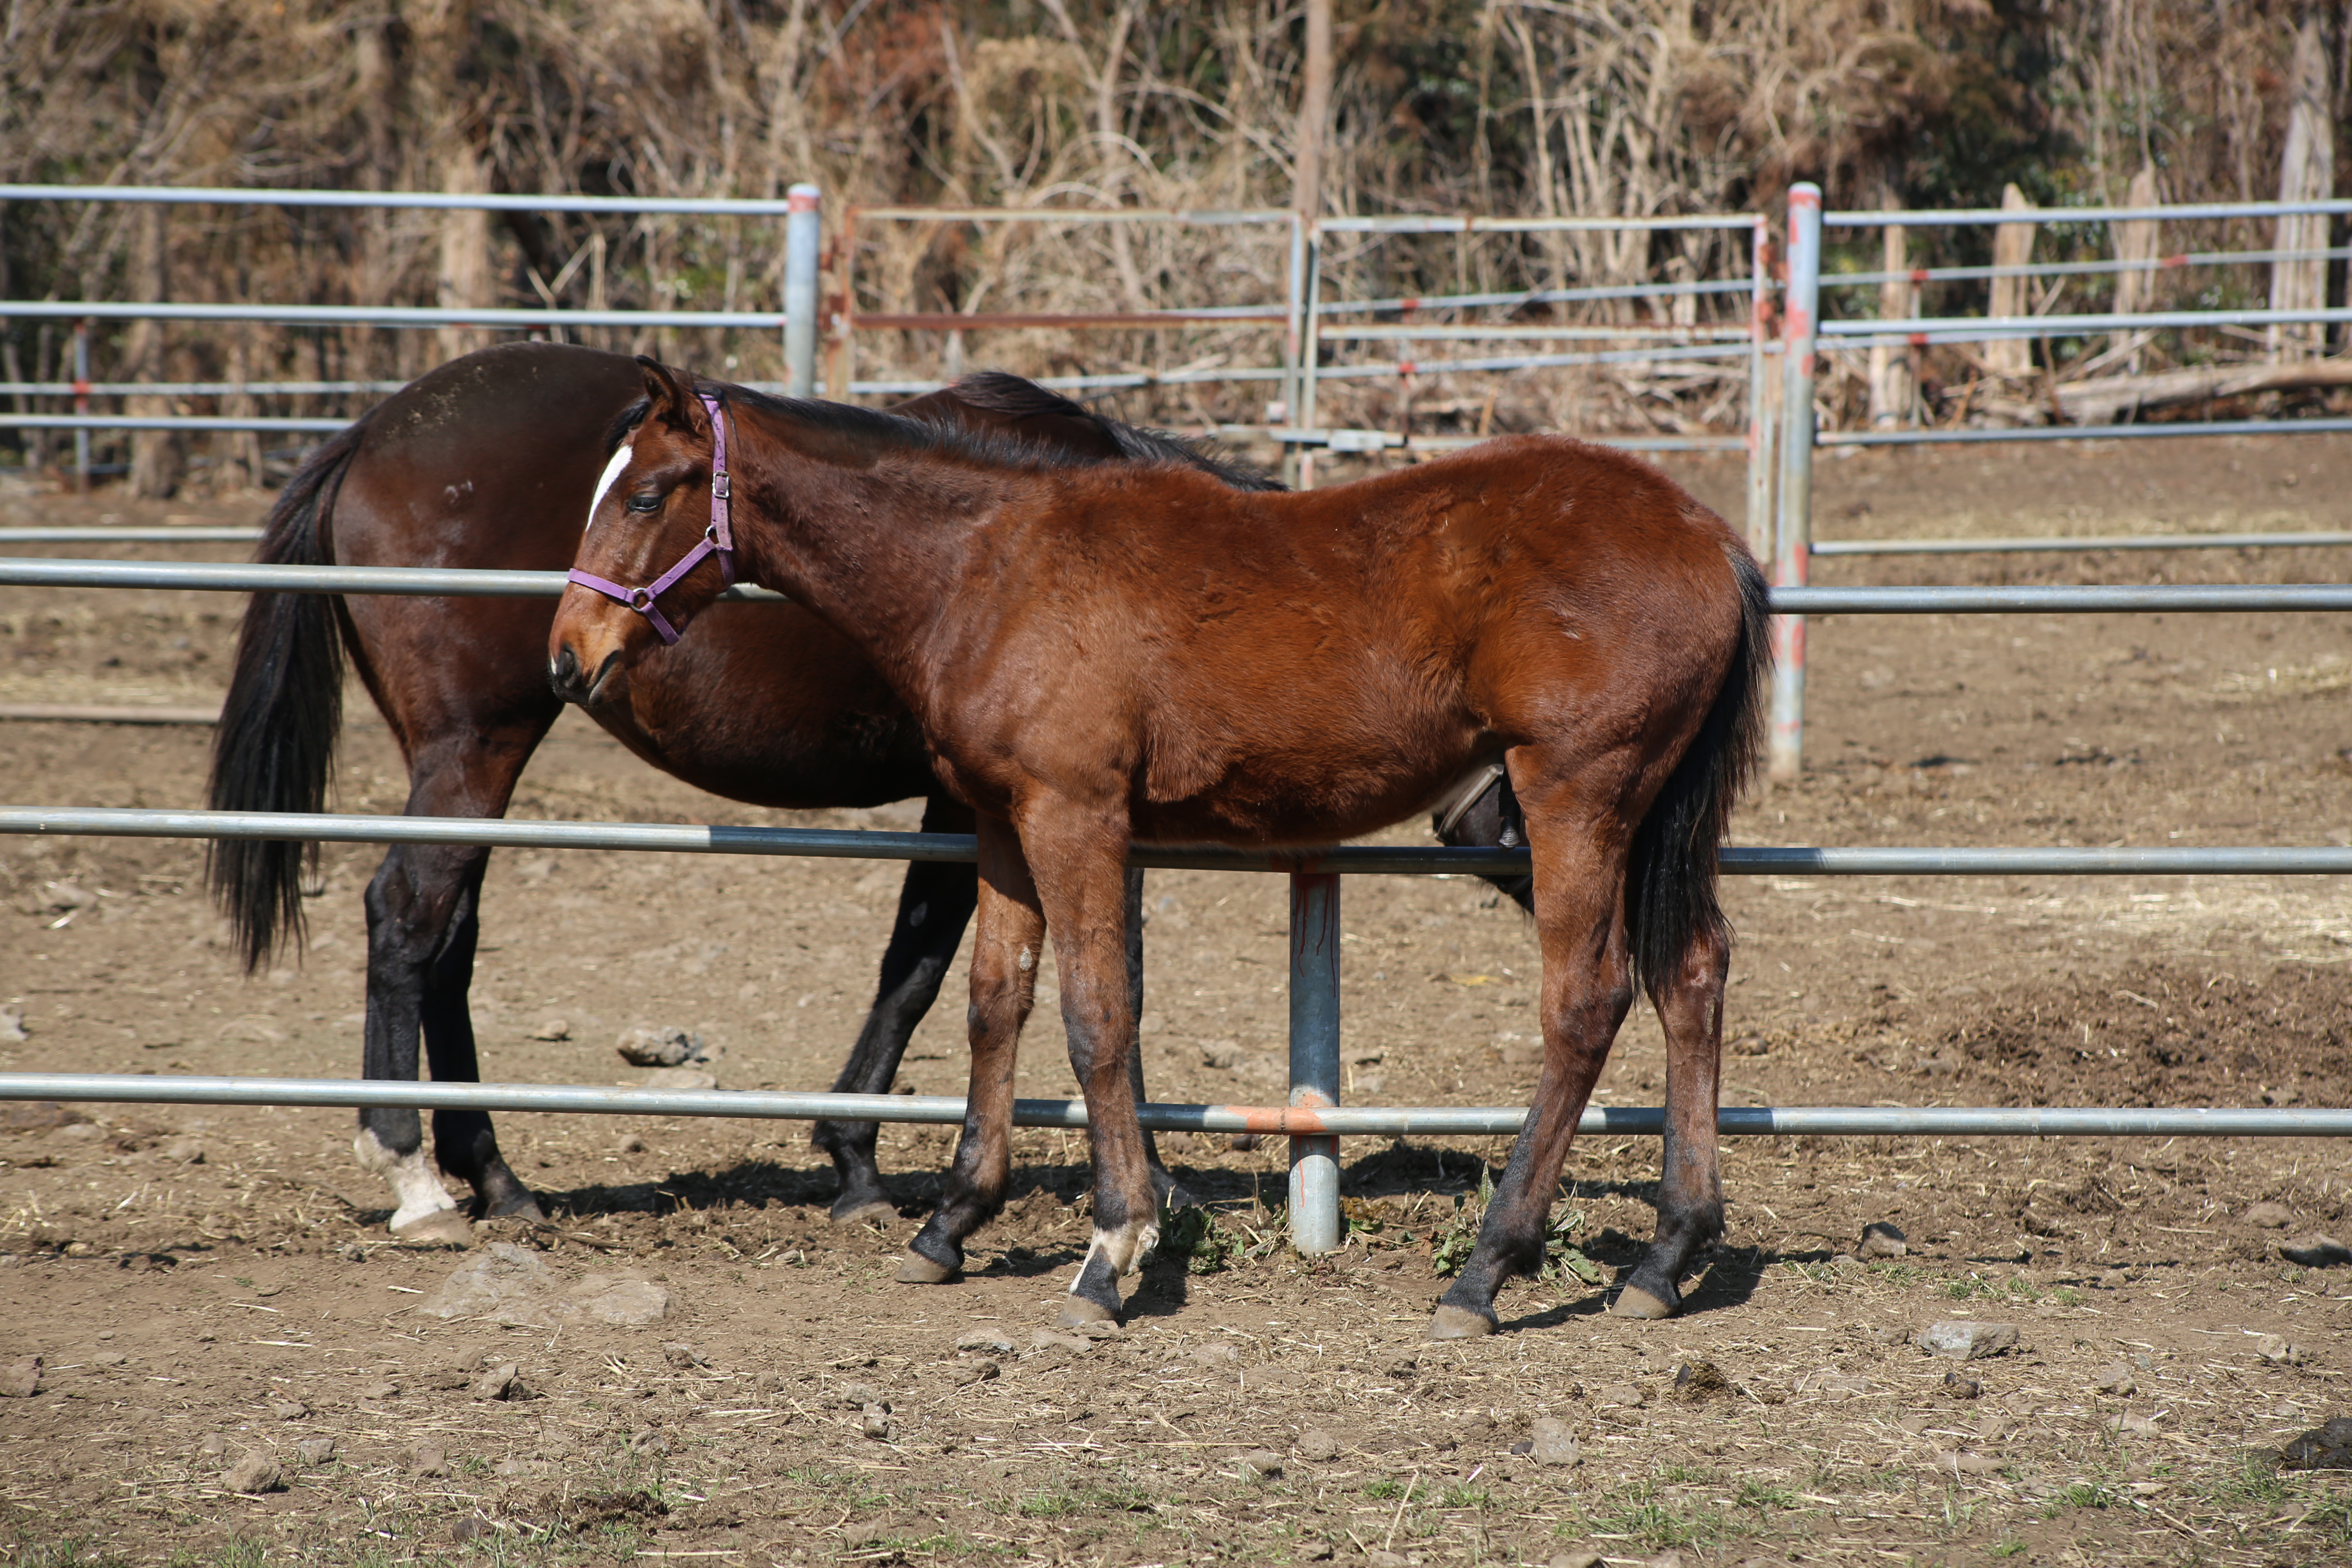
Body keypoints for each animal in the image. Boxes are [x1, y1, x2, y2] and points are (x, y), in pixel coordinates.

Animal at [209, 341, 1298, 1241]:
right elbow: (1053, 975)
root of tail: (369, 433)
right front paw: (1148, 1185)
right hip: (472, 747)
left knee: (449, 936)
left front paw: (855, 1160)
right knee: (407, 914)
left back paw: (499, 1180)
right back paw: (416, 1178)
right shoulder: (1026, 801)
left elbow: (919, 960)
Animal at [555, 362, 1768, 1345]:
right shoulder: (997, 821)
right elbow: (995, 1002)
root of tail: (1712, 538)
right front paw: (950, 1223)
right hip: (1649, 817)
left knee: (1587, 1000)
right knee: (1691, 975)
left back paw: (1484, 1273)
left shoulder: (1076, 816)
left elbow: (1097, 1018)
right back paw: (1666, 1257)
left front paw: (1112, 1254)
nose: (570, 657)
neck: (990, 568)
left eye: (649, 494)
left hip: (1574, 798)